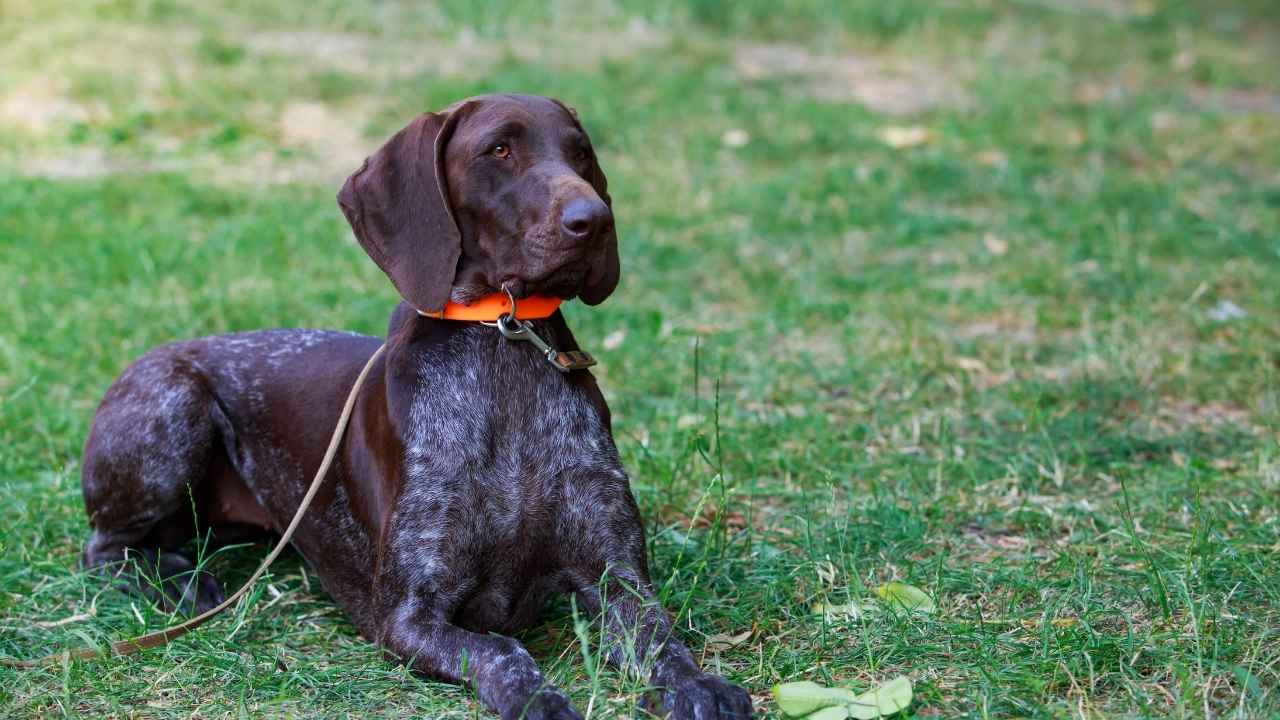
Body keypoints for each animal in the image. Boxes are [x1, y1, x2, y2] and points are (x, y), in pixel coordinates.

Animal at [80, 95, 752, 717]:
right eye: (499, 150)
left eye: (580, 152)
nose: (596, 218)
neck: (500, 342)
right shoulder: (407, 614)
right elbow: (503, 651)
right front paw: (536, 698)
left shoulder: (618, 577)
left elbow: (662, 639)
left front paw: (700, 686)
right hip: (176, 403)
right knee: (104, 548)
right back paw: (179, 583)